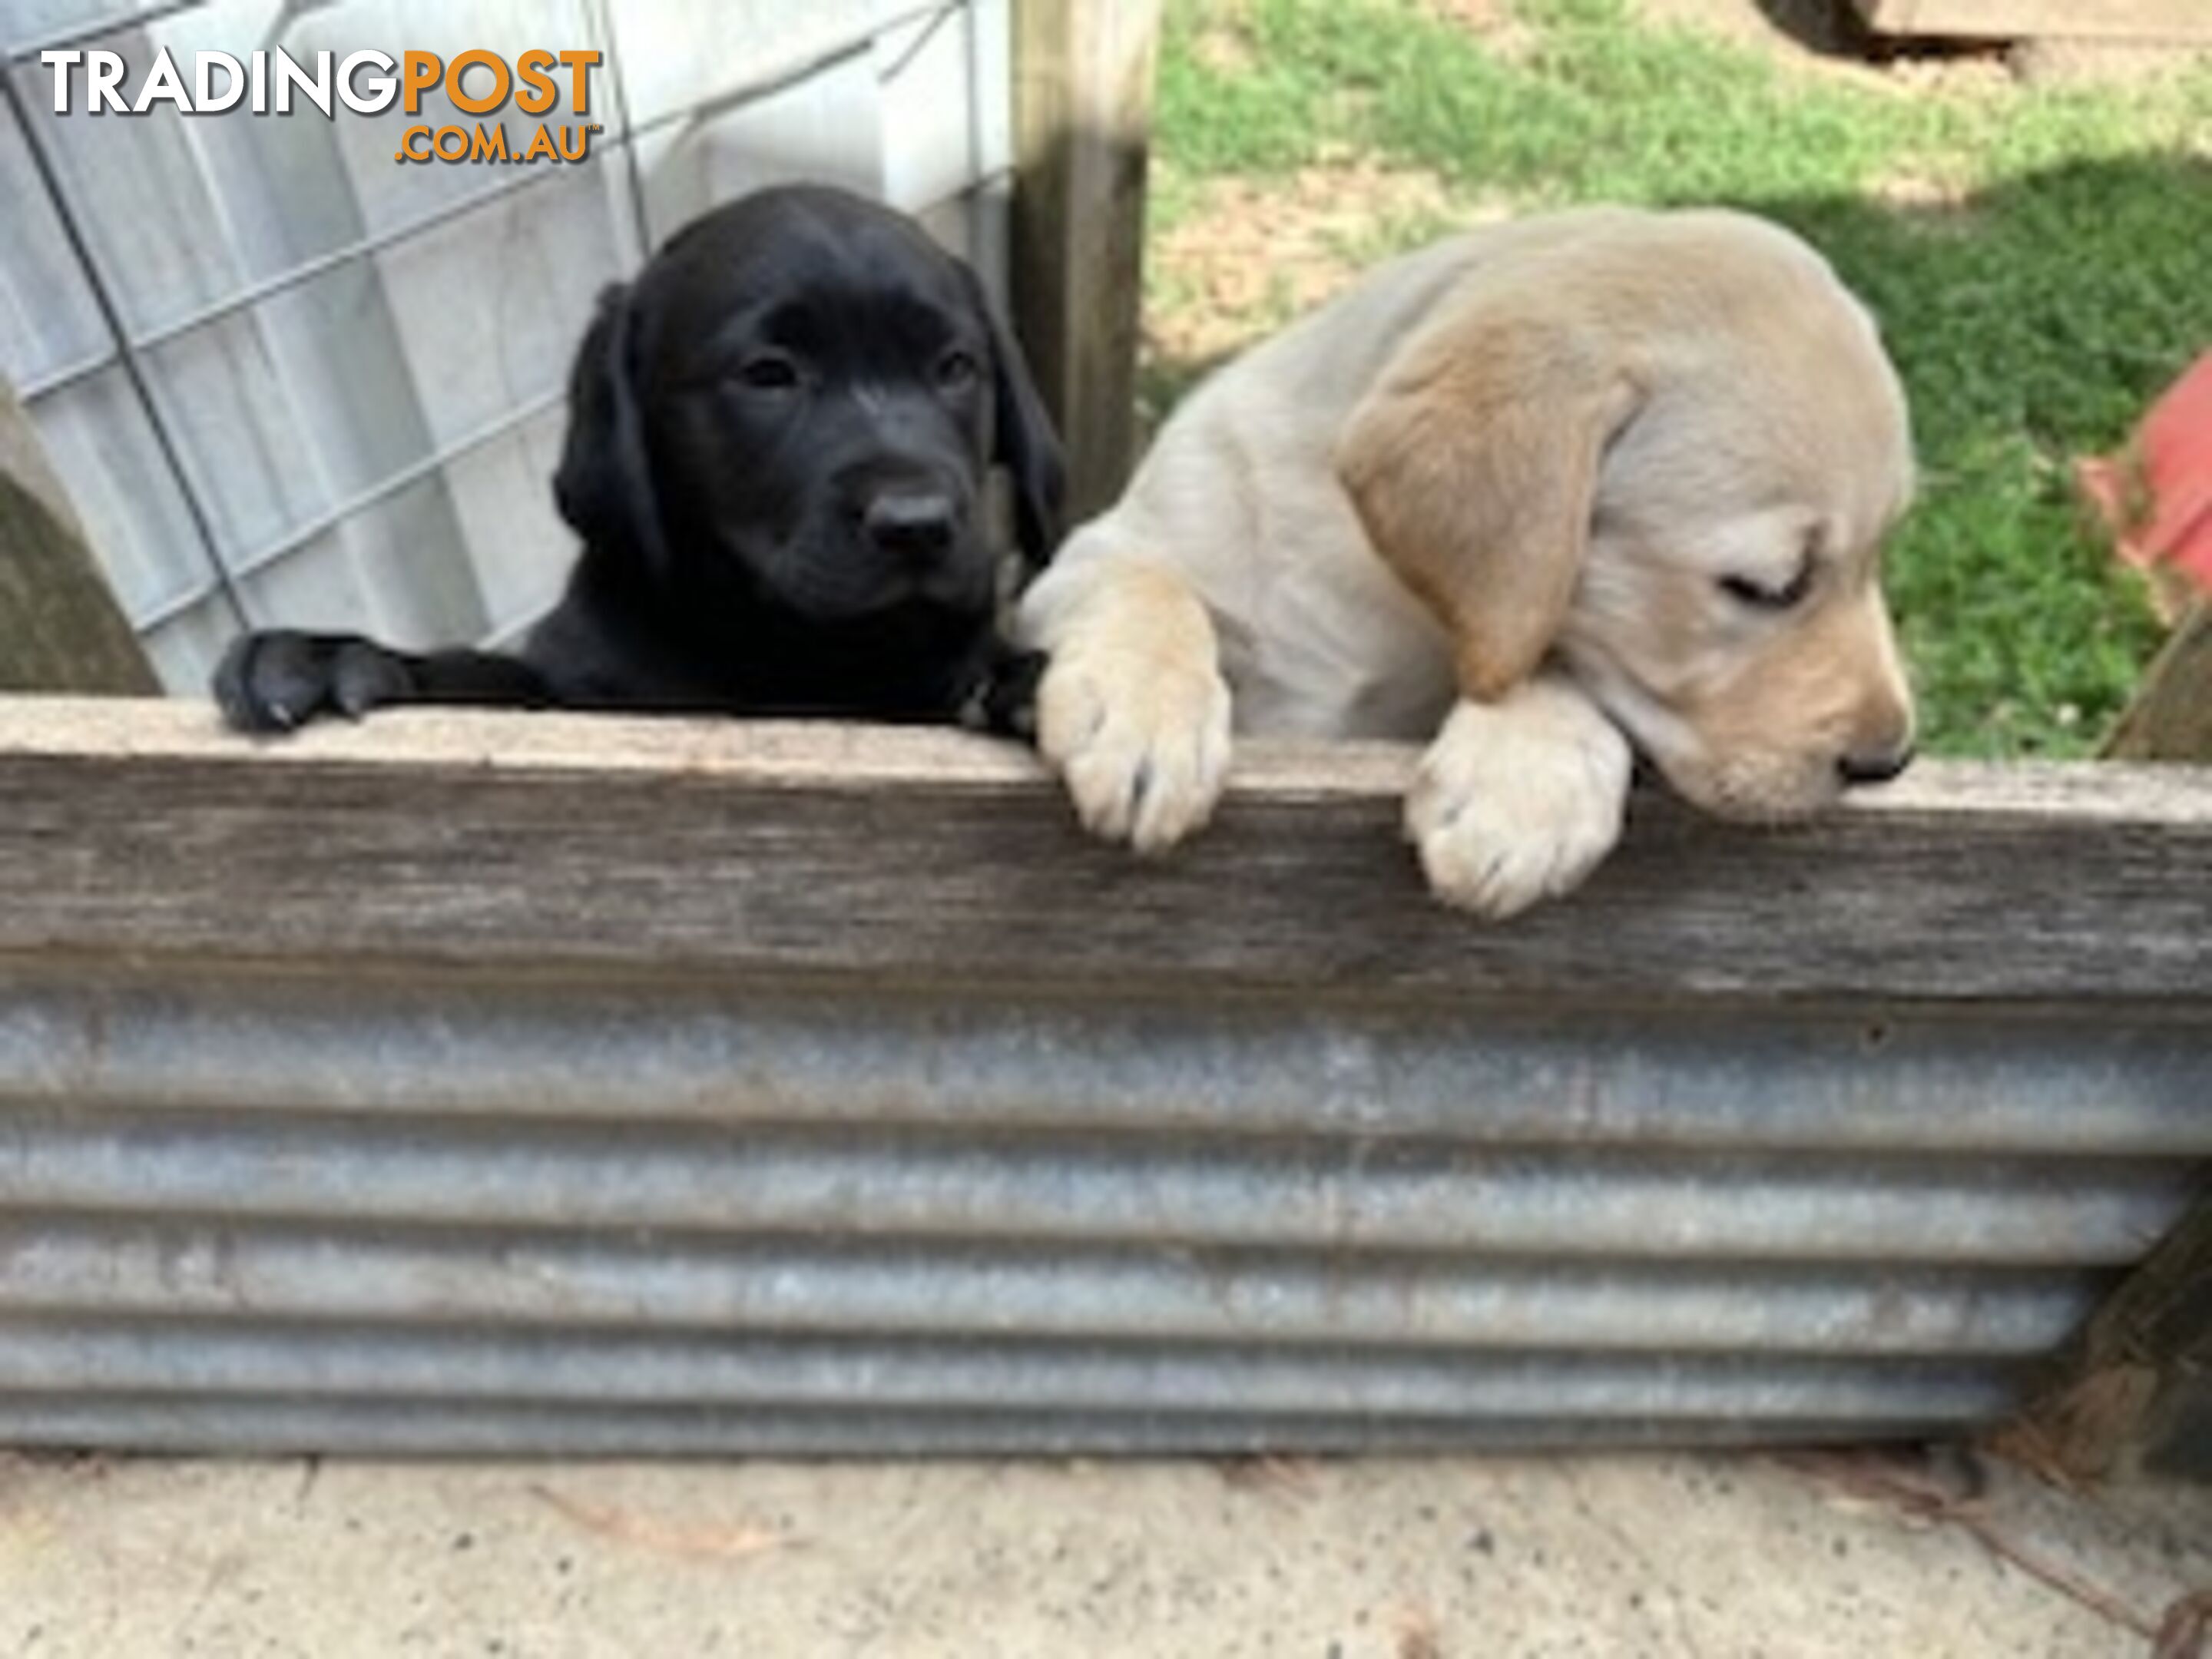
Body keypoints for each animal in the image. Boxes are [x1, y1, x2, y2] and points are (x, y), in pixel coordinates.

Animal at [213, 180, 1061, 734]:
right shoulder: (576, 689)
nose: (918, 524)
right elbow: (487, 680)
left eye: (956, 367)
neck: (789, 647)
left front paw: (1031, 683)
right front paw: (334, 658)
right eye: (768, 375)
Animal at [1017, 207, 1919, 924]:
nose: (1891, 762)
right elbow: (1147, 583)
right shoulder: (1090, 557)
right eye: (1769, 587)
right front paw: (1139, 717)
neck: (1369, 581)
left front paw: (1525, 787)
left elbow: (1544, 660)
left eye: (1879, 554)